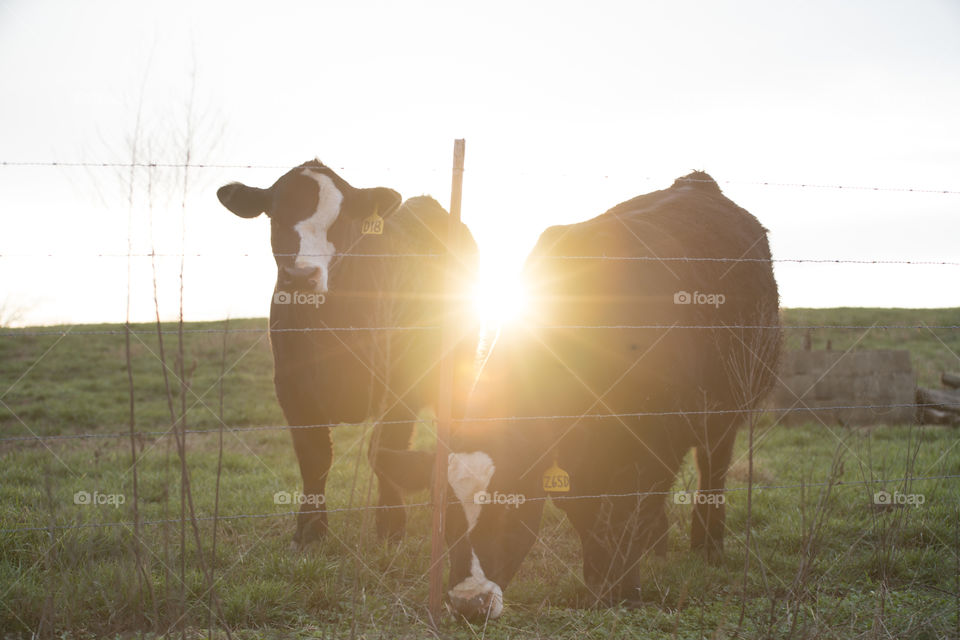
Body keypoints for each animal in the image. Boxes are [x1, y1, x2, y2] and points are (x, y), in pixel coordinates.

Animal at [215, 160, 476, 544]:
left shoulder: (402, 383)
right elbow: (315, 457)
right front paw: (311, 528)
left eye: (340, 220)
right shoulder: (291, 387)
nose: (300, 276)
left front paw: (391, 521)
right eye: (275, 217)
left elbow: (383, 450)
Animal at [442, 172, 780, 616]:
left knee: (713, 470)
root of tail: (696, 181)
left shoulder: (658, 441)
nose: (467, 604)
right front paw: (601, 581)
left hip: (726, 411)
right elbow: (588, 510)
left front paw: (625, 587)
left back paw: (707, 548)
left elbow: (631, 511)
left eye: (506, 508)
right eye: (447, 516)